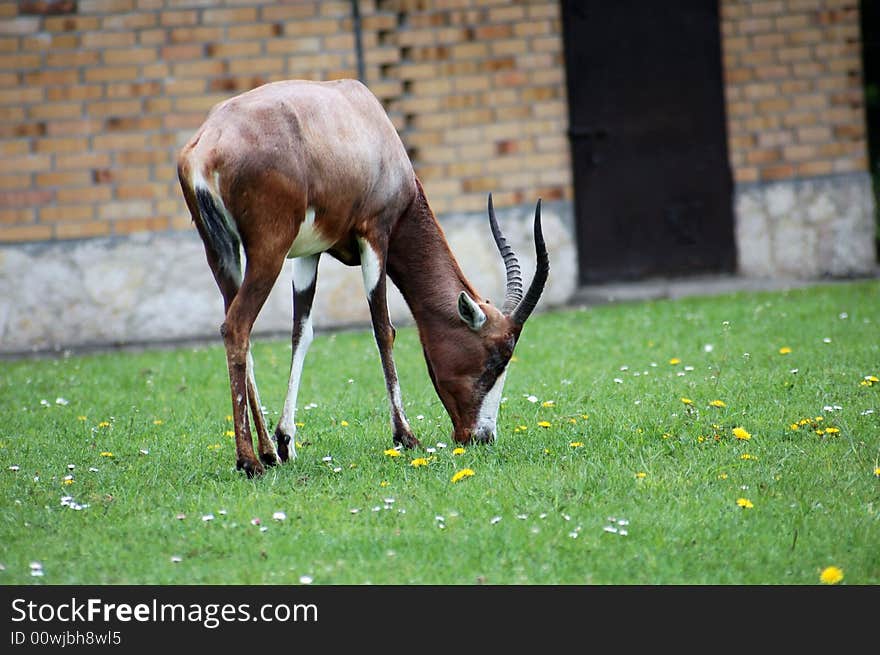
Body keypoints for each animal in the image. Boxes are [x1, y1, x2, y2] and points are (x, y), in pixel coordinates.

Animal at [177, 79, 552, 480]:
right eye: (497, 359)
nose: (481, 436)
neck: (367, 120)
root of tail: (207, 146)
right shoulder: (375, 234)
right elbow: (383, 329)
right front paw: (406, 436)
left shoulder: (309, 252)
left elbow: (301, 333)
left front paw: (286, 442)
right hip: (268, 253)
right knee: (236, 327)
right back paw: (248, 461)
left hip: (222, 255)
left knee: (238, 332)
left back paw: (267, 453)